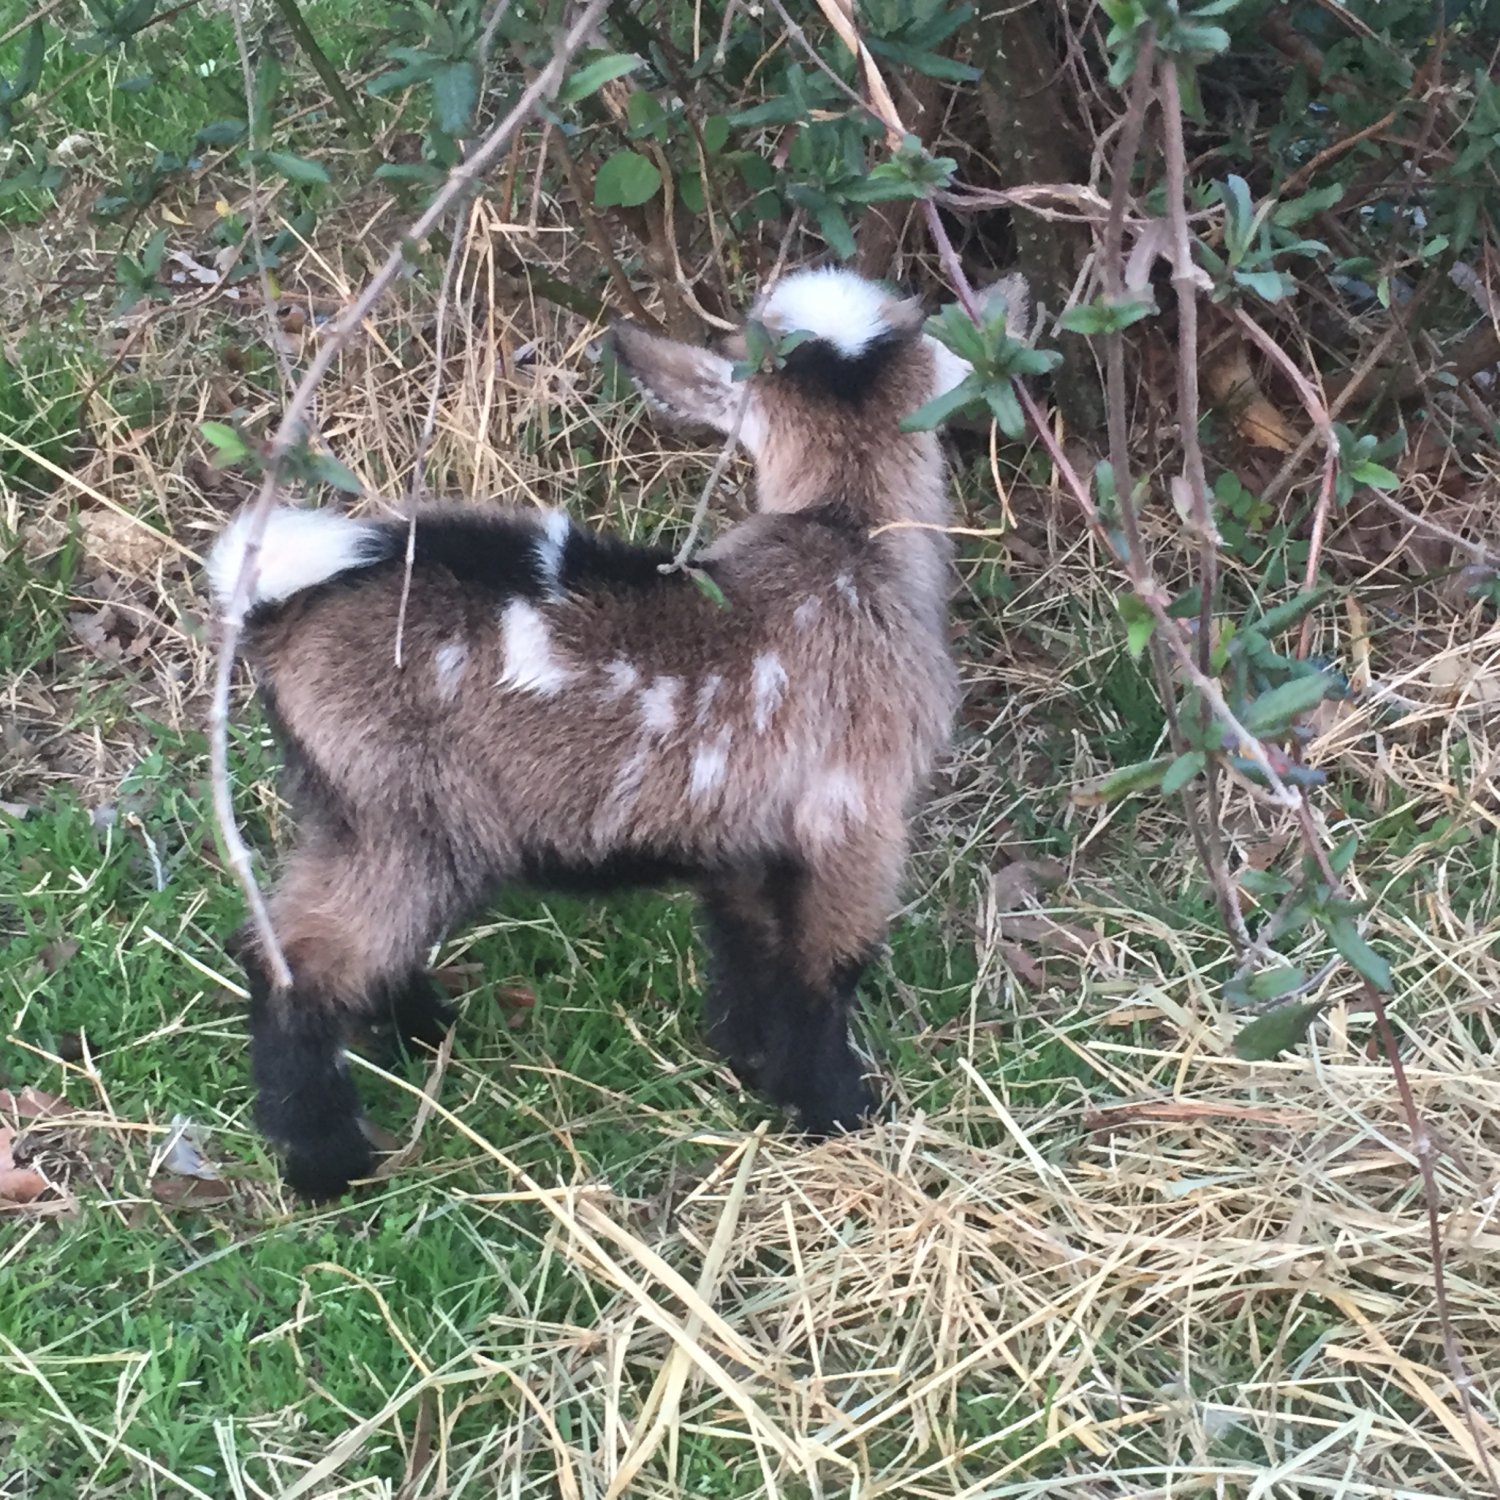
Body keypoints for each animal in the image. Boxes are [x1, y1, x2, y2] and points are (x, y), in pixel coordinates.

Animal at [208, 261, 960, 1194]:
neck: (850, 536)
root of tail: (279, 608)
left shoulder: (744, 828)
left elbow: (749, 944)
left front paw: (752, 1065)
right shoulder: (854, 816)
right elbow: (825, 969)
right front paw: (840, 1114)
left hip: (347, 809)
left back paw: (421, 1034)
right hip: (413, 822)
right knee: (295, 962)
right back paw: (330, 1165)